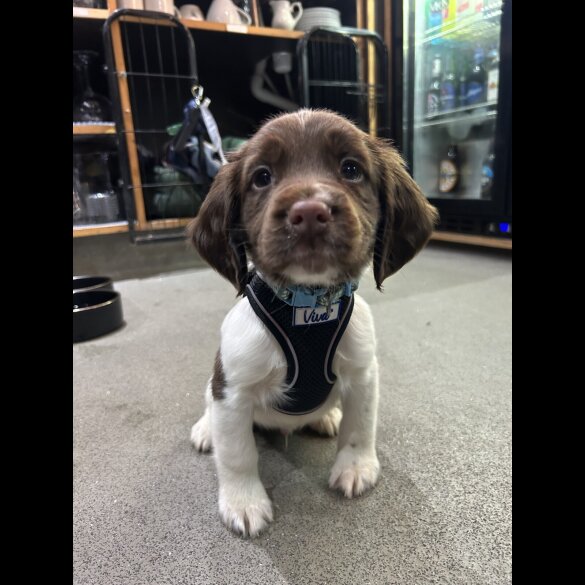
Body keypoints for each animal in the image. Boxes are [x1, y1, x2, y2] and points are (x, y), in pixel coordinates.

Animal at [187, 107, 438, 536]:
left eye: (351, 168)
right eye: (262, 176)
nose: (309, 212)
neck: (307, 307)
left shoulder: (363, 372)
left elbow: (360, 427)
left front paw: (355, 467)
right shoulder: (233, 389)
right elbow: (237, 453)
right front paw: (244, 502)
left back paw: (326, 417)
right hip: (215, 385)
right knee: (208, 404)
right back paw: (205, 430)